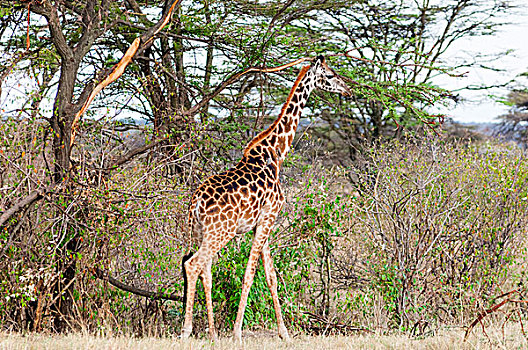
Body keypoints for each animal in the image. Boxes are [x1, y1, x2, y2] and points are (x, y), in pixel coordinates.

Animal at [180, 55, 350, 342]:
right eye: (329, 74)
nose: (347, 90)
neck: (275, 153)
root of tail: (195, 204)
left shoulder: (263, 223)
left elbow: (271, 276)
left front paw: (285, 333)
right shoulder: (268, 218)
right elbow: (249, 274)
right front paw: (237, 333)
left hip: (202, 232)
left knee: (205, 270)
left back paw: (212, 334)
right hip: (221, 232)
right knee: (193, 265)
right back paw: (186, 331)